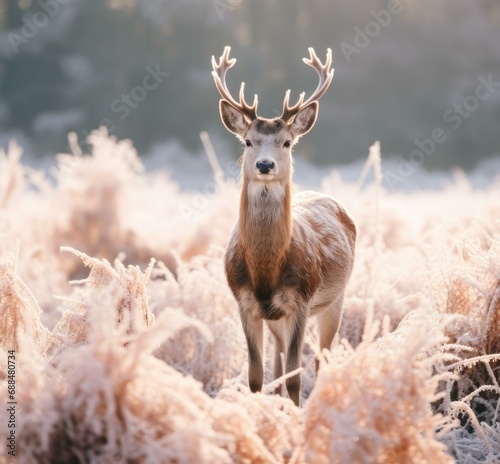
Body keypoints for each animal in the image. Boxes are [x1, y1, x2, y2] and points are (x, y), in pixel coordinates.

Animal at [211, 45, 356, 404]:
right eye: (248, 141)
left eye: (287, 142)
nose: (265, 165)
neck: (266, 269)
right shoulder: (244, 303)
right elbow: (256, 375)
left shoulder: (300, 301)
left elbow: (294, 377)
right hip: (277, 319)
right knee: (277, 364)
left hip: (336, 299)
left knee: (321, 361)